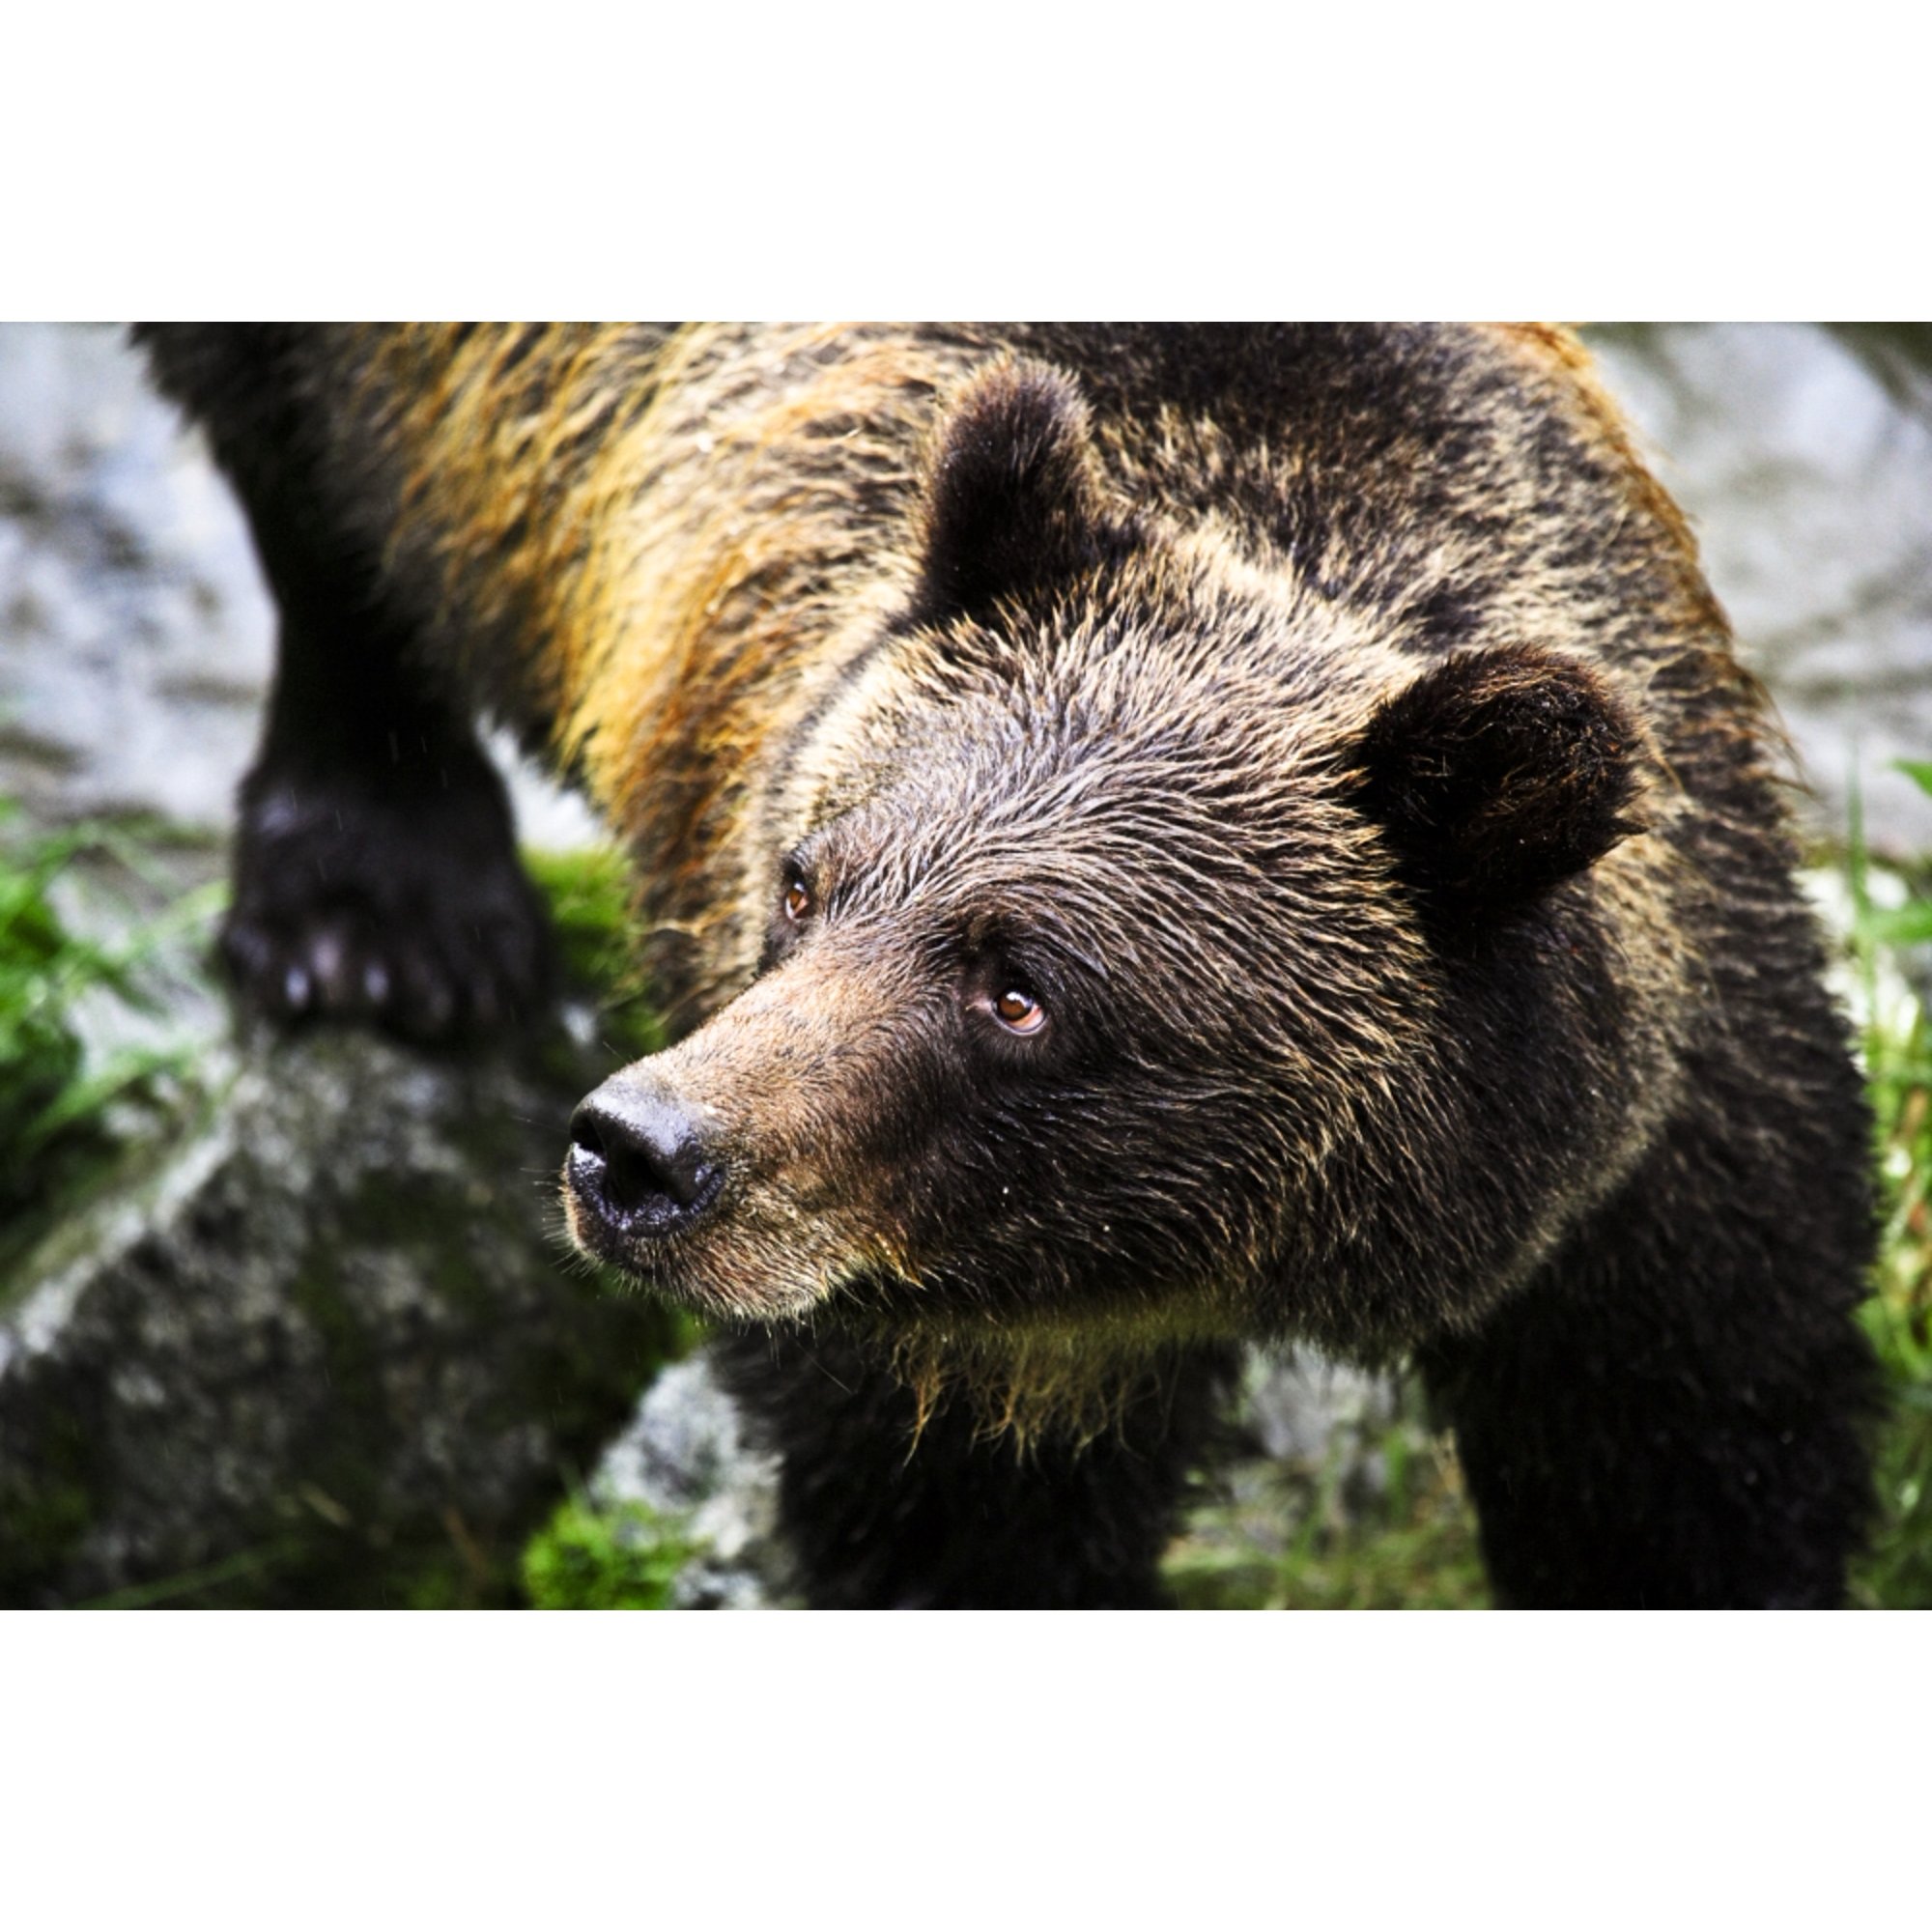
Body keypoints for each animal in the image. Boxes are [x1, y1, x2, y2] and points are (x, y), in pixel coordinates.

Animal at [138, 322, 1881, 1608]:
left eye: (1022, 988)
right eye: (808, 880)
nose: (639, 1153)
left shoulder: (1653, 1189)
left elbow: (1696, 1470)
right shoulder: (939, 1343)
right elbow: (952, 1521)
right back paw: (376, 916)